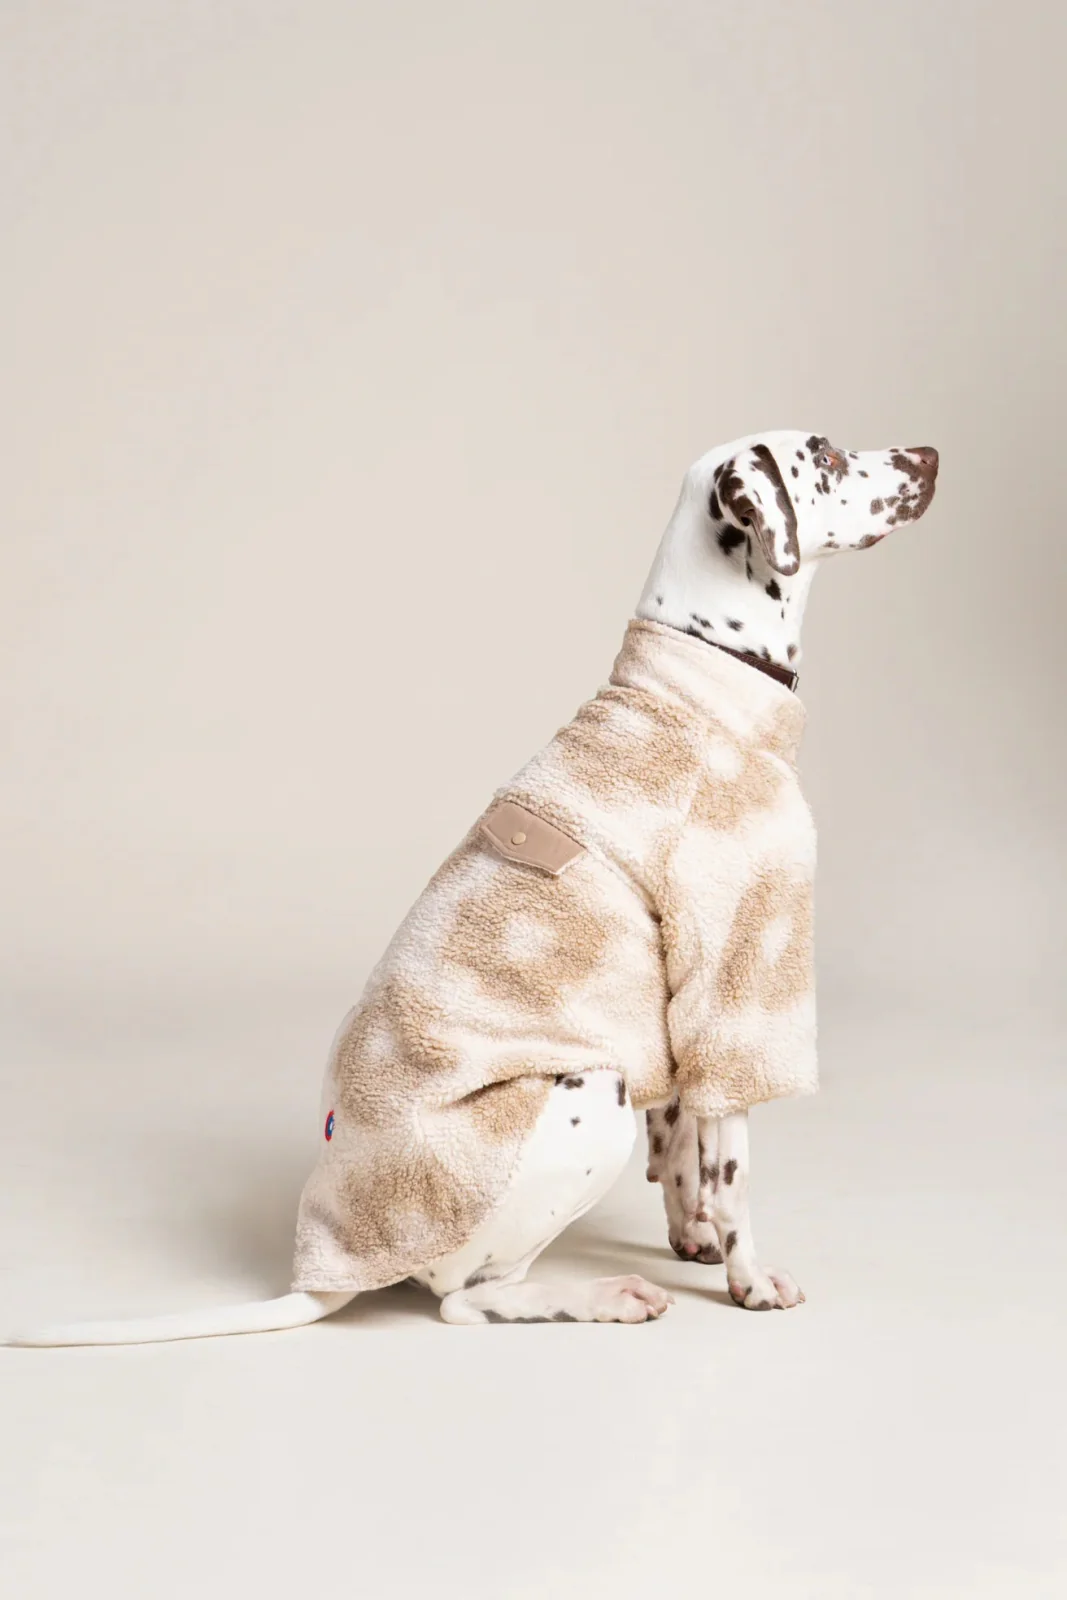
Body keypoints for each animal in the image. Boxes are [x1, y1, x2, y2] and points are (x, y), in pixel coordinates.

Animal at [7, 430, 938, 1343]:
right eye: (824, 455)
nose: (928, 456)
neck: (700, 684)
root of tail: (327, 1270)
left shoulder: (671, 1017)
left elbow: (680, 1154)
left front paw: (694, 1239)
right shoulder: (735, 988)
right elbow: (733, 1168)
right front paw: (750, 1281)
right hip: (583, 1097)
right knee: (466, 1298)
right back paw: (604, 1296)